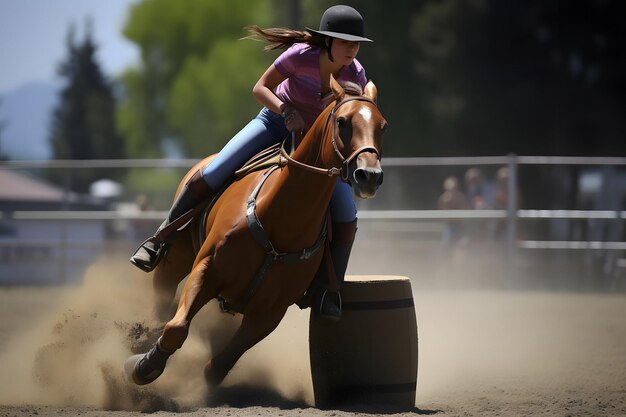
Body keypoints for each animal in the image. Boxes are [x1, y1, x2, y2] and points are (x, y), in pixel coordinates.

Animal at [123, 77, 382, 386]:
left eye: (382, 125)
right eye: (342, 121)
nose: (370, 175)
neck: (279, 223)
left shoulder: (270, 313)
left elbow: (217, 366)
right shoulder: (206, 269)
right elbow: (176, 327)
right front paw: (142, 366)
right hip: (175, 259)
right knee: (161, 306)